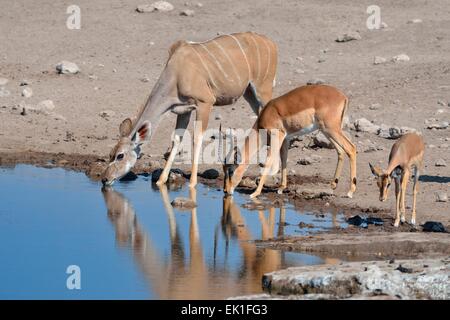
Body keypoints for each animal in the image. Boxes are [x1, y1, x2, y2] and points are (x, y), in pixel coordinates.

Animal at [102, 31, 278, 188]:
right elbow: (176, 140)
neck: (176, 74)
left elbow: (197, 138)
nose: (105, 179)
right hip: (249, 93)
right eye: (110, 154)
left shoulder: (205, 103)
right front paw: (161, 181)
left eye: (120, 156)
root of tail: (270, 42)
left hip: (263, 88)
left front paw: (192, 183)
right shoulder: (184, 110)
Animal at [221, 85, 356, 200]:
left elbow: (269, 162)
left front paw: (255, 193)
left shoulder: (277, 136)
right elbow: (284, 159)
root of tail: (343, 96)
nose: (226, 191)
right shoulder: (285, 139)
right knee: (341, 151)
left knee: (351, 148)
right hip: (327, 131)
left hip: (331, 129)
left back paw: (350, 191)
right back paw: (333, 184)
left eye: (231, 171)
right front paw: (281, 188)